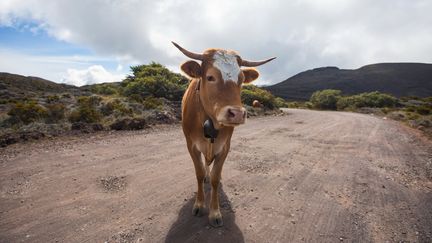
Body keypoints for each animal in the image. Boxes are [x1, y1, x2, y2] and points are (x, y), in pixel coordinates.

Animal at [171, 42, 276, 228]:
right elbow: (199, 173)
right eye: (210, 77)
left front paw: (214, 212)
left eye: (241, 80)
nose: (237, 113)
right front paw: (199, 204)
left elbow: (215, 178)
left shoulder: (225, 146)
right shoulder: (191, 146)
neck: (209, 121)